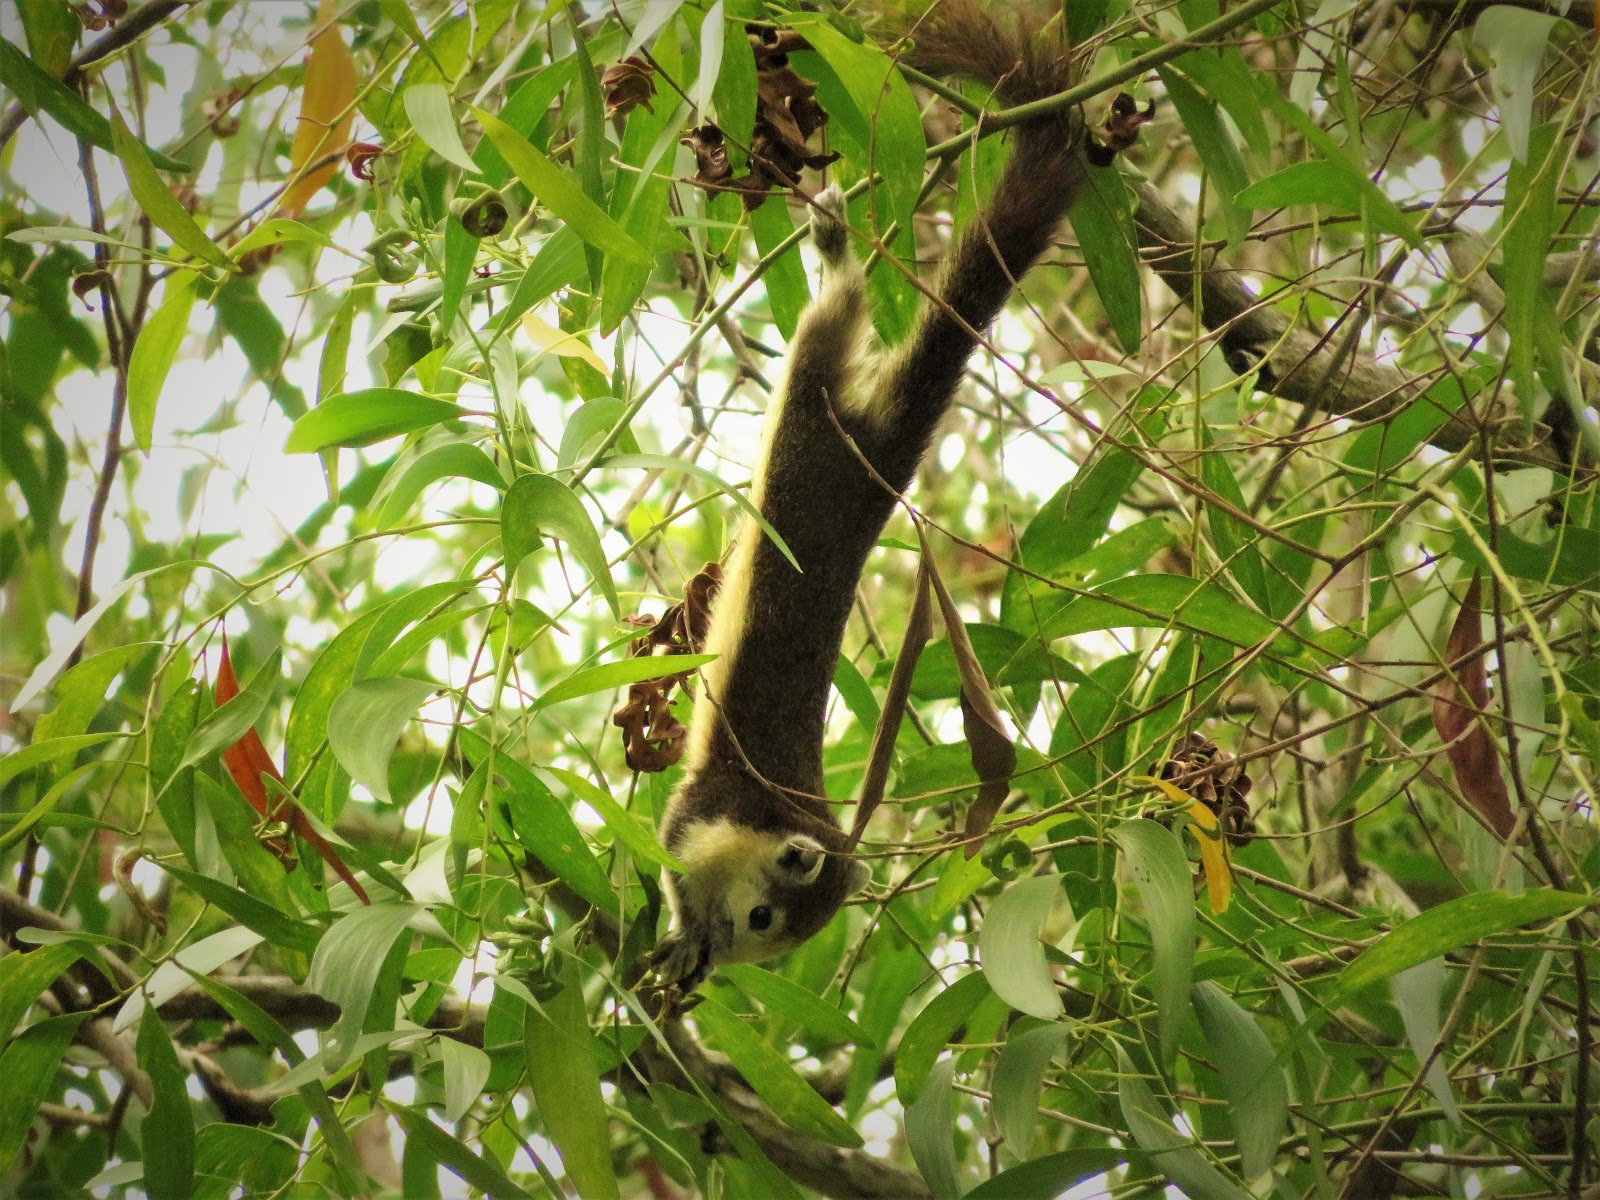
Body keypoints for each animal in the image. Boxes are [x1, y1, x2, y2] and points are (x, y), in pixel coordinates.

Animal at [650, 3, 1104, 993]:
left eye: (764, 930)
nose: (730, 947)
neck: (775, 816)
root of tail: (883, 455)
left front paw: (687, 953)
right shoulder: (708, 806)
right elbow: (669, 845)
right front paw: (682, 931)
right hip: (813, 416)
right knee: (829, 322)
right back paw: (833, 251)